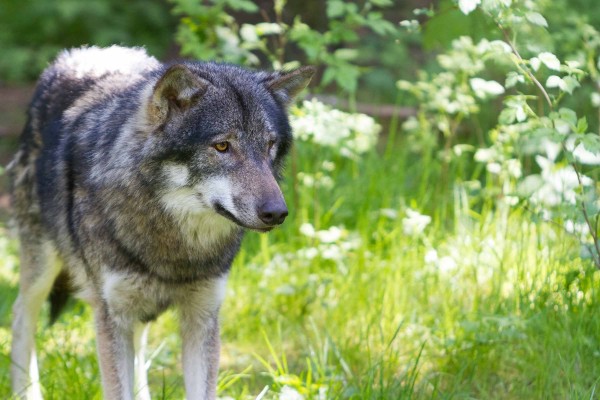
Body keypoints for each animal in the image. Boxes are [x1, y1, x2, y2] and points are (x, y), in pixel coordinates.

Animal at [9, 45, 314, 398]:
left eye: (269, 145)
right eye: (222, 146)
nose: (277, 212)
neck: (174, 246)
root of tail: (79, 54)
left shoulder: (203, 313)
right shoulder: (111, 317)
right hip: (43, 269)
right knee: (20, 317)